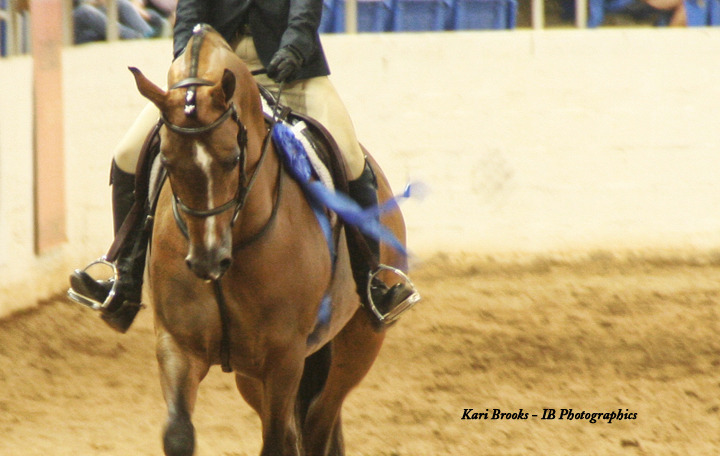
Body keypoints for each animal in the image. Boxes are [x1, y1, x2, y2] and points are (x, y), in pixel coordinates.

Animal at [129, 25, 411, 456]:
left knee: (317, 423)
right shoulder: (178, 345)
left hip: (358, 344)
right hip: (251, 374)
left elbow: (278, 440)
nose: (207, 261)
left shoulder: (284, 358)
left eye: (232, 158)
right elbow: (179, 435)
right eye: (168, 160)